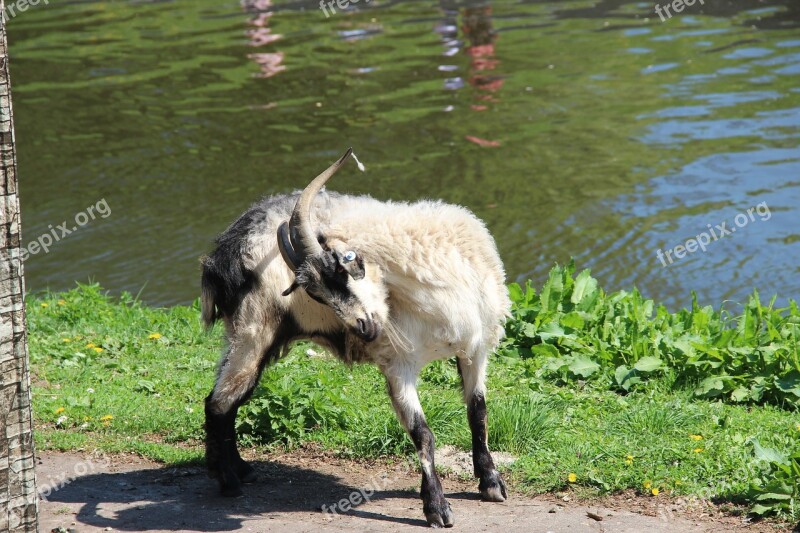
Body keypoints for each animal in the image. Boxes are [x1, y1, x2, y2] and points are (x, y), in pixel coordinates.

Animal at [202, 148, 512, 524]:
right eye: (316, 294)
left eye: (344, 270)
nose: (364, 329)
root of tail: (223, 253)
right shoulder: (398, 363)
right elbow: (422, 433)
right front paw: (437, 508)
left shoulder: (475, 349)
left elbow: (478, 413)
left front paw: (491, 483)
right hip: (252, 329)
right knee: (220, 402)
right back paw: (228, 481)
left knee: (226, 399)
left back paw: (239, 470)